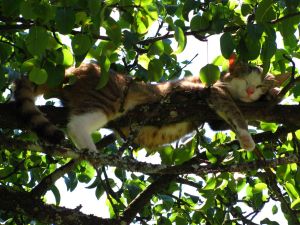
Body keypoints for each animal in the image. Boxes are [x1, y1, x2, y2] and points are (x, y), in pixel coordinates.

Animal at [14, 58, 290, 153]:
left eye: (259, 85)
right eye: (244, 79)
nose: (252, 90)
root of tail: (74, 69)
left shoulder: (211, 120)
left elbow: (220, 122)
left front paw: (274, 93)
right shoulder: (207, 92)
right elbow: (234, 112)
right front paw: (247, 138)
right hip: (109, 99)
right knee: (76, 124)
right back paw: (92, 152)